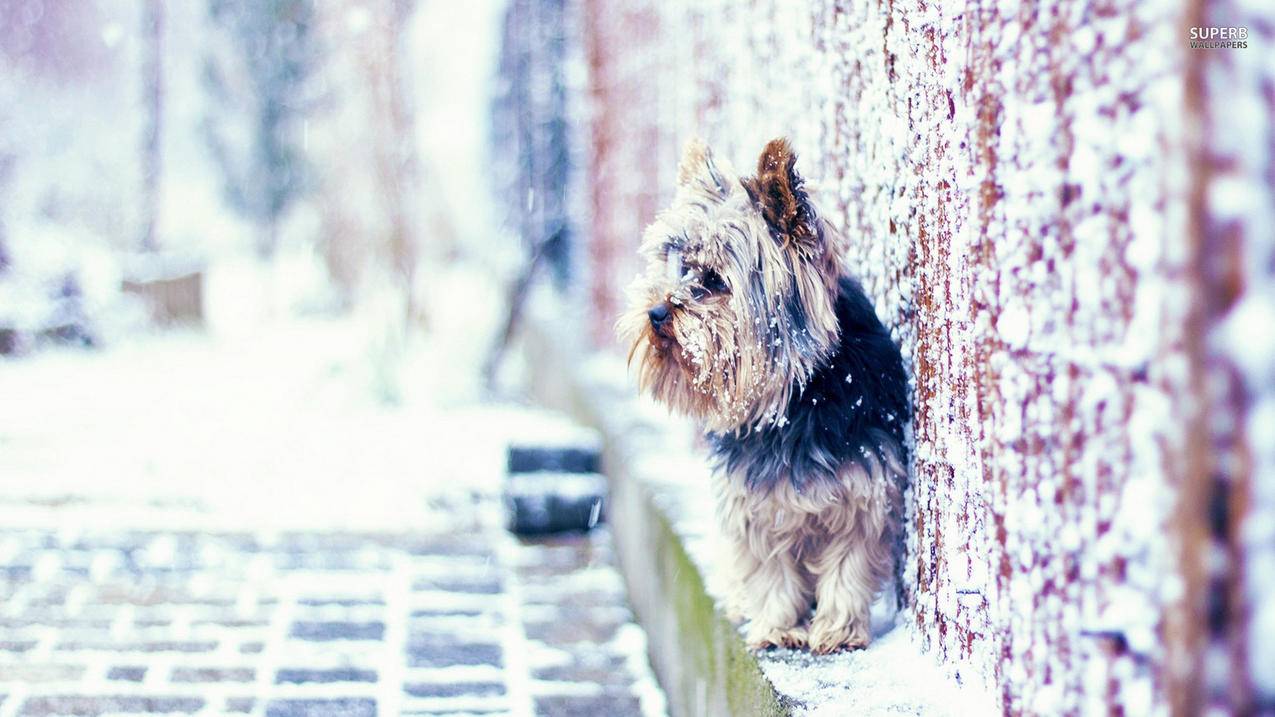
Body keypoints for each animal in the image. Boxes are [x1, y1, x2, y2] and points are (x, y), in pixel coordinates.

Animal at [617, 136, 907, 650]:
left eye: (714, 280)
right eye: (680, 266)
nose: (655, 312)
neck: (796, 400)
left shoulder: (866, 488)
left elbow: (849, 564)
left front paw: (838, 629)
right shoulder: (754, 501)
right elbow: (770, 570)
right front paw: (777, 627)